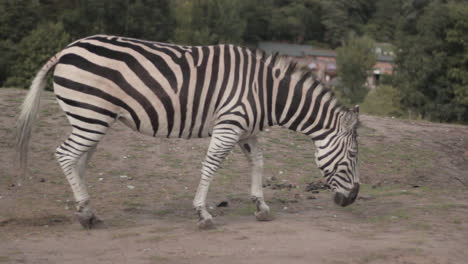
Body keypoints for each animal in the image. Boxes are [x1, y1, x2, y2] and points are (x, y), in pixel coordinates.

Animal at [16, 35, 360, 229]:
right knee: (65, 155)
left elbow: (259, 161)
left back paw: (87, 212)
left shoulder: (245, 130)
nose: (353, 199)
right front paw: (203, 214)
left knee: (78, 160)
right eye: (354, 154)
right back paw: (85, 213)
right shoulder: (229, 125)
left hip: (91, 118)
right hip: (90, 114)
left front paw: (261, 207)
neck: (266, 92)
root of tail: (66, 49)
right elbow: (212, 165)